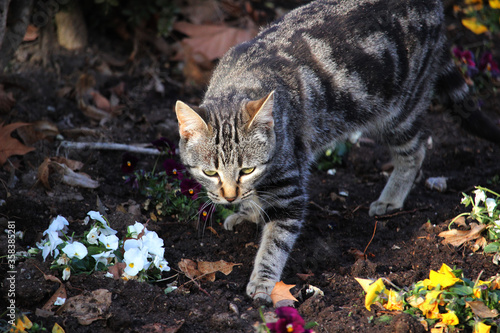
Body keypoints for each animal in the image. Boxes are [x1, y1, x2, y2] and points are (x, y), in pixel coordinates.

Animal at [174, 0, 498, 300]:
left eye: (247, 169)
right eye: (209, 172)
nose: (230, 196)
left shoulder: (291, 187)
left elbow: (275, 242)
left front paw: (263, 281)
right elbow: (258, 200)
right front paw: (250, 212)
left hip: (399, 112)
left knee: (415, 152)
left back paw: (391, 198)